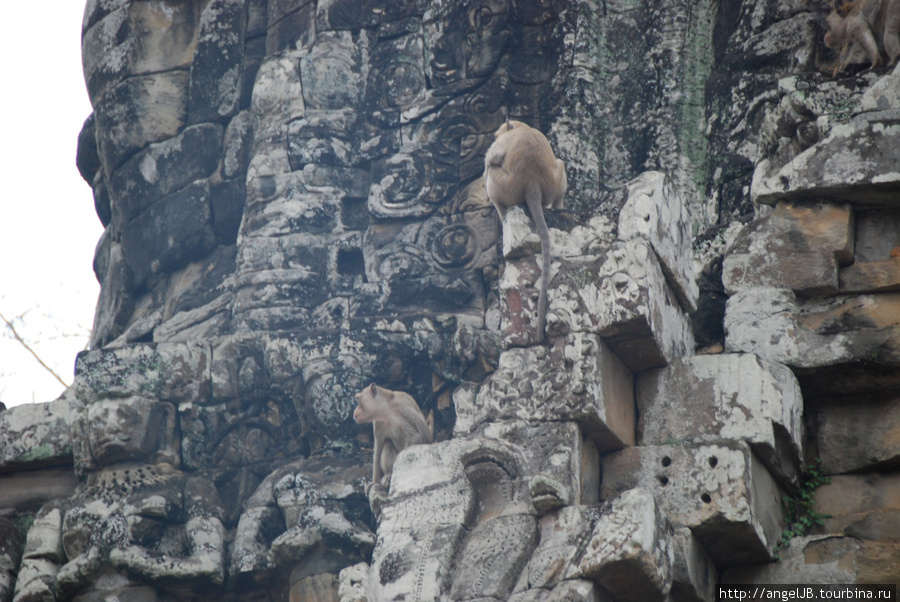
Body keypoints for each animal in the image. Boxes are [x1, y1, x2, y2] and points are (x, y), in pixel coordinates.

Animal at [482, 118, 568, 342]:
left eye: (497, 135)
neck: (523, 128)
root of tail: (532, 183)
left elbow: (492, 159)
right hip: (553, 185)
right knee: (561, 164)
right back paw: (558, 207)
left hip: (505, 186)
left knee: (493, 171)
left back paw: (502, 213)